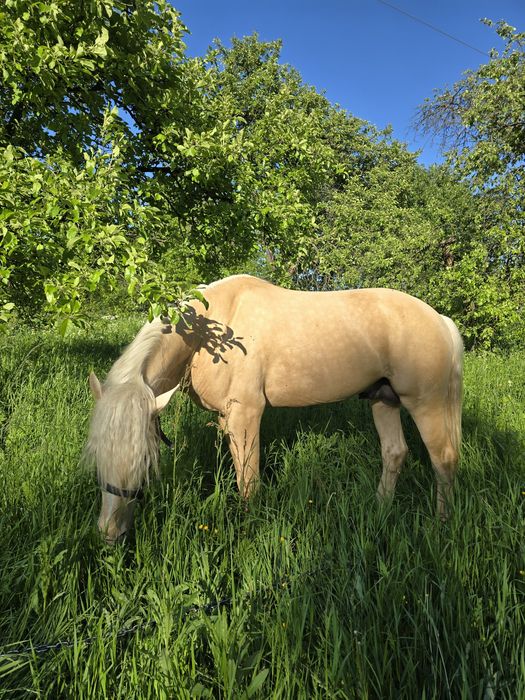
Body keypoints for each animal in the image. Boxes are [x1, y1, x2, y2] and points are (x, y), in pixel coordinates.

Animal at [85, 274, 463, 543]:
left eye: (144, 461)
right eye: (98, 454)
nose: (109, 533)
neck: (210, 331)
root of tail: (440, 319)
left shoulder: (247, 413)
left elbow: (249, 483)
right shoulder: (227, 418)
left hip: (425, 403)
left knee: (443, 459)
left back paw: (442, 525)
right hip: (384, 400)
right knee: (395, 452)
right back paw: (380, 510)